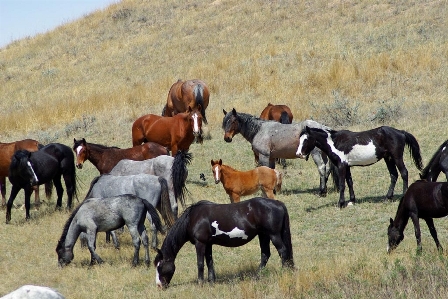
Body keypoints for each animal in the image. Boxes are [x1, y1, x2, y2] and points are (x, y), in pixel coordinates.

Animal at [153, 198, 294, 290]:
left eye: (159, 267)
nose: (159, 285)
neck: (193, 218)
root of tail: (278, 203)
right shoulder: (208, 244)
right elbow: (209, 262)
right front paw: (211, 282)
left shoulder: (200, 243)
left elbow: (200, 264)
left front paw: (200, 283)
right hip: (263, 235)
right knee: (265, 254)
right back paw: (256, 276)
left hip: (273, 235)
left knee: (283, 251)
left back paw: (284, 273)